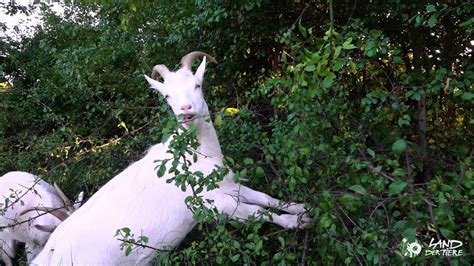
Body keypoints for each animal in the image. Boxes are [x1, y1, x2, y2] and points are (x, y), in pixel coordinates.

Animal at [33, 51, 312, 264]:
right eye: (167, 95)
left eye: (197, 85)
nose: (185, 110)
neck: (194, 157)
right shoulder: (213, 203)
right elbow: (258, 213)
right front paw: (298, 222)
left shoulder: (229, 186)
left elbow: (265, 197)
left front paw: (301, 207)